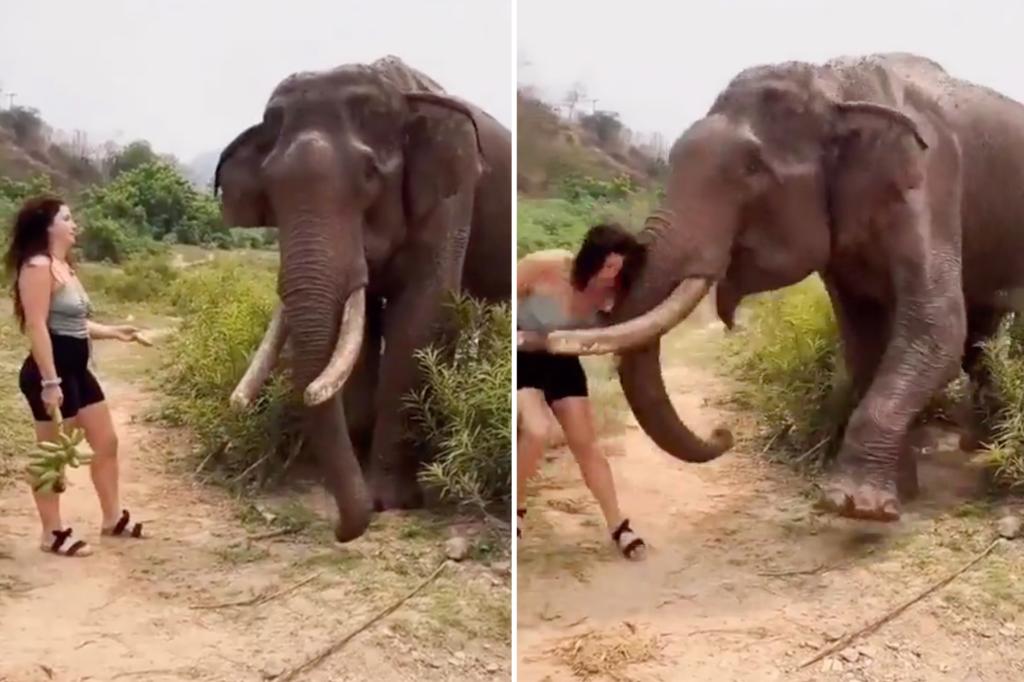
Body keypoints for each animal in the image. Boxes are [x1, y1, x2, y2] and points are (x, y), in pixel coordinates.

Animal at [213, 55, 510, 542]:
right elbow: (360, 330)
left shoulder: (452, 191)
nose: (339, 529)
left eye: (370, 175)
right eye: (270, 189)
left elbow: (421, 315)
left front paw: (390, 502)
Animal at [536, 52, 1024, 522]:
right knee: (981, 333)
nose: (723, 433)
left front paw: (856, 506)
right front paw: (899, 491)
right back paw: (980, 446)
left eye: (752, 168)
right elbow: (865, 339)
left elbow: (936, 327)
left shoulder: (929, 181)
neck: (834, 85)